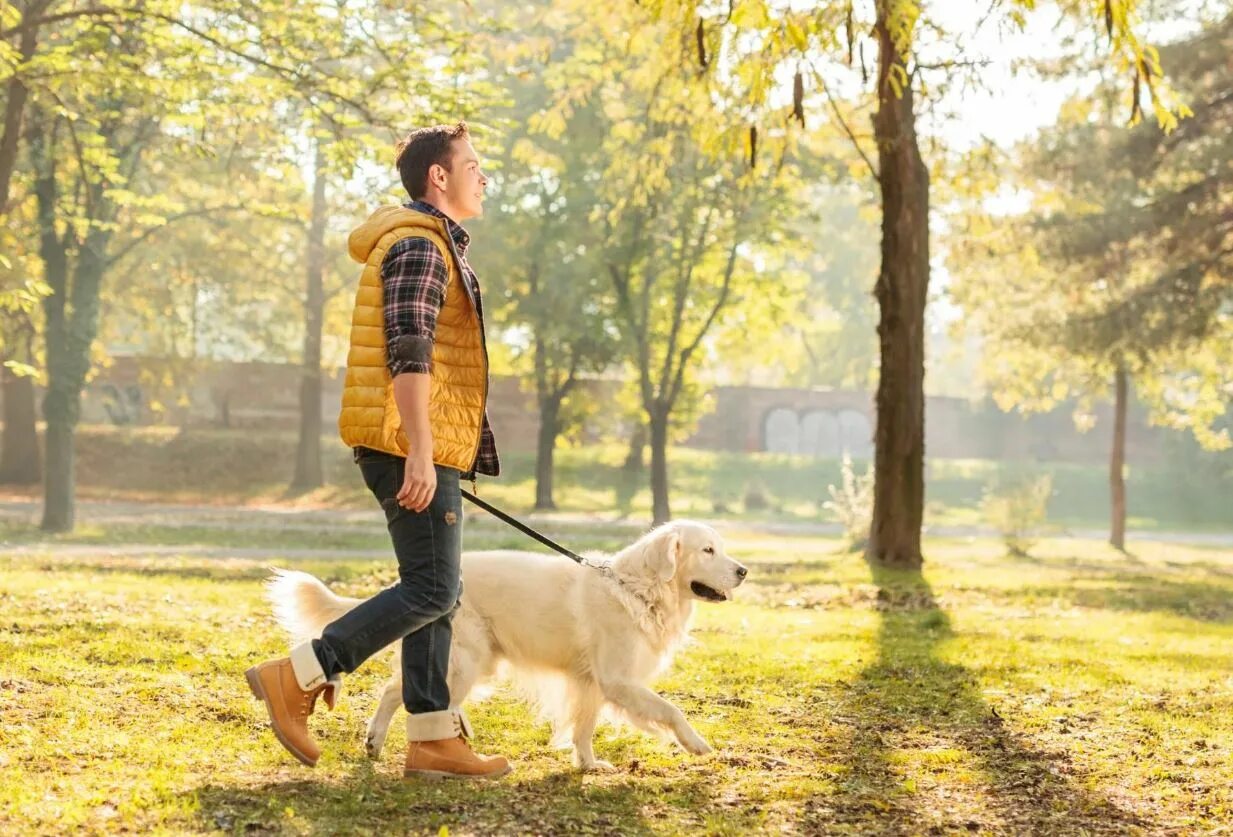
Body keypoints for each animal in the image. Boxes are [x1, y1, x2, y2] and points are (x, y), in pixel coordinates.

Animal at [268, 522, 744, 774]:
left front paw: (588, 765)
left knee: (403, 692)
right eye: (708, 550)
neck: (639, 588)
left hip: (471, 661)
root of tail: (419, 583)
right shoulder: (617, 679)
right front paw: (696, 743)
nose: (743, 571)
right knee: (402, 694)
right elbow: (671, 710)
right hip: (468, 659)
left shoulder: (590, 682)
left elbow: (584, 727)